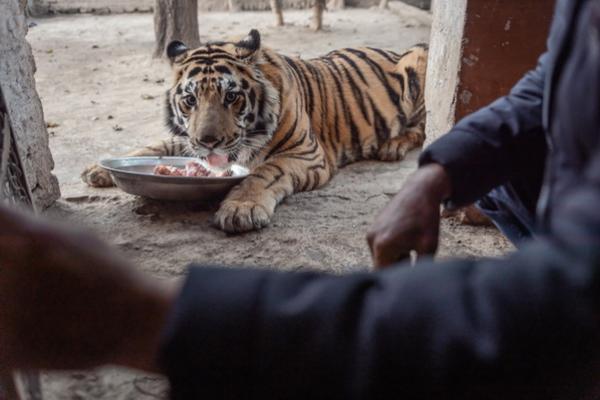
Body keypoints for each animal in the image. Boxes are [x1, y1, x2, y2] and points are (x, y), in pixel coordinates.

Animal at [82, 29, 428, 233]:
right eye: (190, 100)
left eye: (231, 96)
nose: (209, 142)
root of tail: (393, 51)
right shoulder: (189, 140)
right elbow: (158, 145)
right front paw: (99, 169)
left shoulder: (305, 153)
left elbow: (266, 171)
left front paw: (241, 209)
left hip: (419, 58)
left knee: (422, 128)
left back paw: (392, 146)